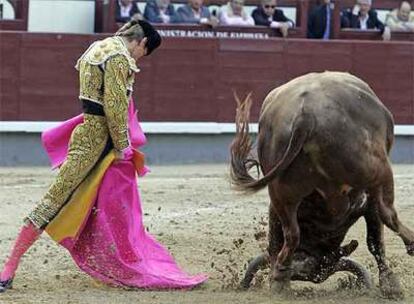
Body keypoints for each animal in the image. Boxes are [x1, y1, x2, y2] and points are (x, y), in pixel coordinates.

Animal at [230, 72, 414, 300]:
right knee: (388, 213)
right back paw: (411, 243)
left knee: (291, 234)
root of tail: (305, 117)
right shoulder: (367, 201)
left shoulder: (275, 206)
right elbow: (375, 239)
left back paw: (280, 276)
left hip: (281, 190)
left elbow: (275, 242)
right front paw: (390, 283)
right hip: (378, 170)